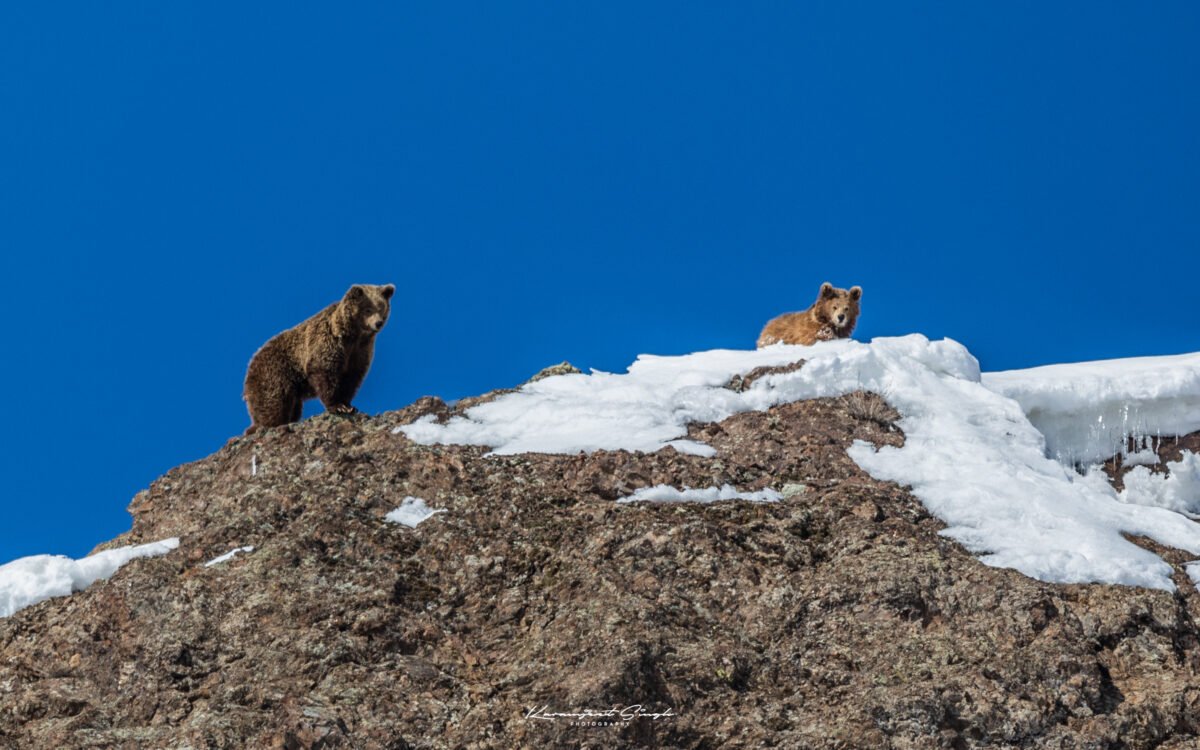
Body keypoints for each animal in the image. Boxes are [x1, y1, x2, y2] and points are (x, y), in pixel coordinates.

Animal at [242, 280, 393, 432]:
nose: (378, 323)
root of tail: (250, 364)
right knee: (274, 404)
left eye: (382, 308)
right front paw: (337, 406)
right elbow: (324, 372)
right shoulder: (327, 342)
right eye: (368, 309)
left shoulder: (359, 351)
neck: (352, 336)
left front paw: (349, 406)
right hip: (274, 375)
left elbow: (352, 378)